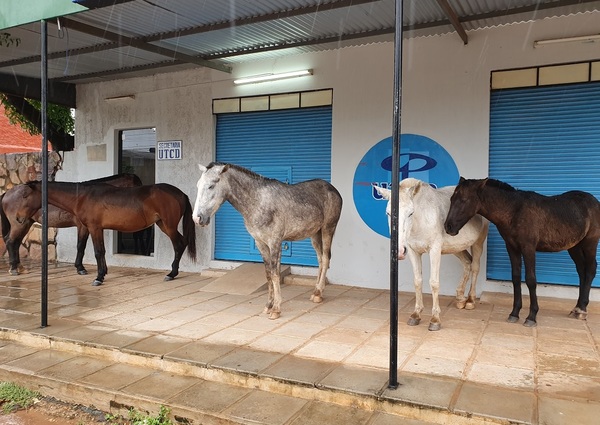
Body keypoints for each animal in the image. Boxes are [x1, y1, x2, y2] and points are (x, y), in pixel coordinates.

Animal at [1, 172, 142, 274]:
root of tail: (7, 193)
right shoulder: (83, 226)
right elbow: (81, 246)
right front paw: (81, 268)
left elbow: (81, 246)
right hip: (20, 224)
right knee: (11, 241)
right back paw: (14, 269)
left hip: (25, 223)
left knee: (15, 242)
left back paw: (19, 267)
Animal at [22, 181, 197, 284]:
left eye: (25, 195)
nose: (19, 218)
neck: (82, 197)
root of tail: (180, 193)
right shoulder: (92, 228)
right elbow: (97, 250)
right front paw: (102, 272)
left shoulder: (94, 228)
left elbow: (98, 252)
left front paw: (99, 277)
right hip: (162, 224)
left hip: (169, 226)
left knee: (179, 244)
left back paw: (171, 273)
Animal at [378, 177, 490, 330]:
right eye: (388, 213)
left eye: (411, 213)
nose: (399, 251)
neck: (420, 221)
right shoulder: (412, 251)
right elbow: (418, 281)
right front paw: (416, 314)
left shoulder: (435, 250)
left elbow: (434, 283)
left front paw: (435, 319)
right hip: (457, 247)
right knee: (467, 262)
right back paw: (460, 297)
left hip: (478, 242)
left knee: (475, 267)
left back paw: (470, 300)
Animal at [442, 177, 596, 326]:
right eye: (452, 199)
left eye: (464, 199)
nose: (448, 227)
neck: (514, 211)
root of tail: (593, 200)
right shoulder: (512, 248)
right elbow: (516, 278)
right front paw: (514, 313)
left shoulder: (528, 248)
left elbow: (530, 280)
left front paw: (532, 316)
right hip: (574, 247)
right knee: (581, 271)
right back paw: (577, 307)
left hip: (590, 244)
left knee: (590, 270)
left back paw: (582, 310)